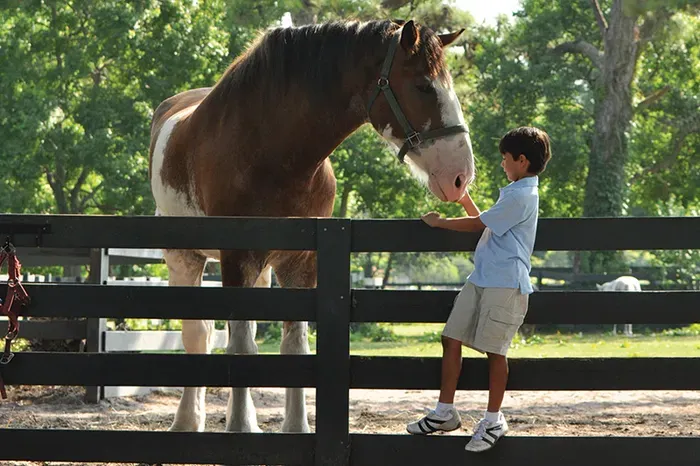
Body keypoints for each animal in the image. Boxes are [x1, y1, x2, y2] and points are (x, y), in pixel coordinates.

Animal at [148, 19, 475, 434]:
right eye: (422, 86)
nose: (461, 176)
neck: (270, 151)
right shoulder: (237, 258)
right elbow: (239, 347)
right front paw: (239, 430)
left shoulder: (299, 262)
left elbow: (294, 347)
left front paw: (296, 429)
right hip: (185, 258)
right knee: (197, 335)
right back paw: (188, 422)